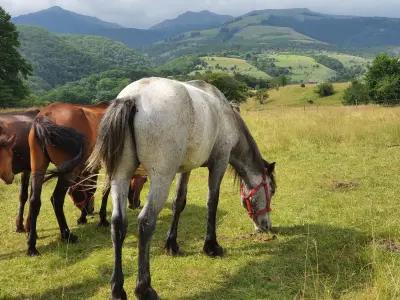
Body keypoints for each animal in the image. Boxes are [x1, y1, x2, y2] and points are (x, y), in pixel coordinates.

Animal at [87, 78, 276, 300]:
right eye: (272, 190)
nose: (266, 226)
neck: (226, 115)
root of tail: (133, 97)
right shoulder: (219, 162)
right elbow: (212, 201)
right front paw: (211, 246)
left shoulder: (185, 169)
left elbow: (179, 202)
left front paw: (172, 244)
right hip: (161, 178)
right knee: (146, 222)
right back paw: (144, 288)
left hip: (121, 175)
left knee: (118, 223)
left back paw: (117, 289)